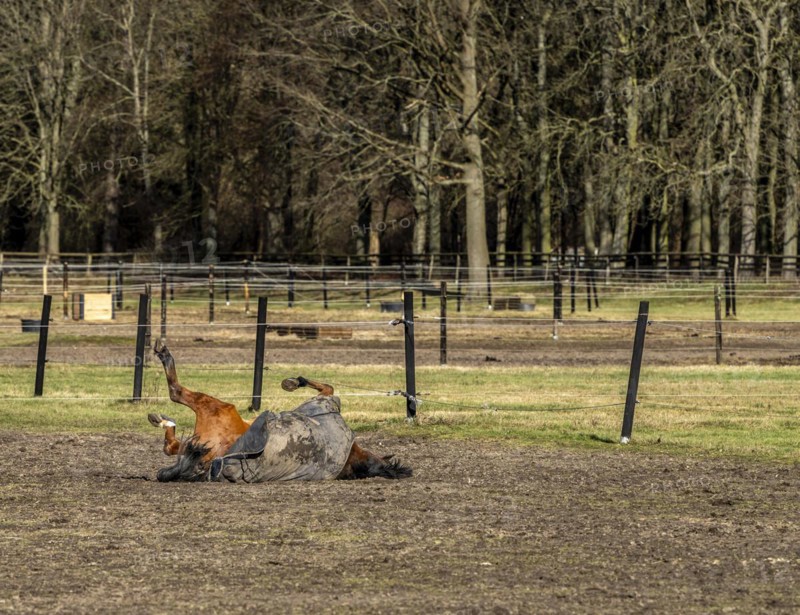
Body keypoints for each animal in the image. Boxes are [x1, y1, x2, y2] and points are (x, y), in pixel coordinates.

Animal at [148, 340, 411, 482]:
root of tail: (210, 459)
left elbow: (328, 387)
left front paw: (293, 381)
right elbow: (328, 386)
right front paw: (294, 381)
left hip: (218, 409)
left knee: (176, 394)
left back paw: (163, 355)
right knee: (172, 444)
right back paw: (162, 419)